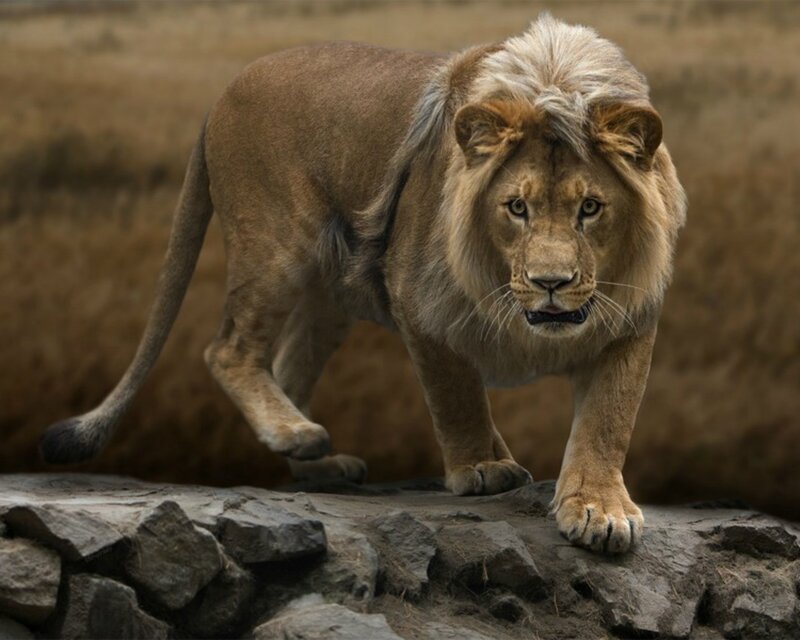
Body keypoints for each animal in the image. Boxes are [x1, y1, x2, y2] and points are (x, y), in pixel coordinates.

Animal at [40, 14, 686, 554]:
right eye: (517, 207)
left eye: (591, 208)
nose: (551, 282)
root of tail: (221, 93)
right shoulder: (418, 300)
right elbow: (456, 394)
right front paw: (481, 467)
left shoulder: (630, 315)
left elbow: (608, 419)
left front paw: (600, 509)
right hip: (276, 245)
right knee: (228, 349)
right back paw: (298, 434)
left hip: (329, 302)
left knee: (286, 367)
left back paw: (316, 461)